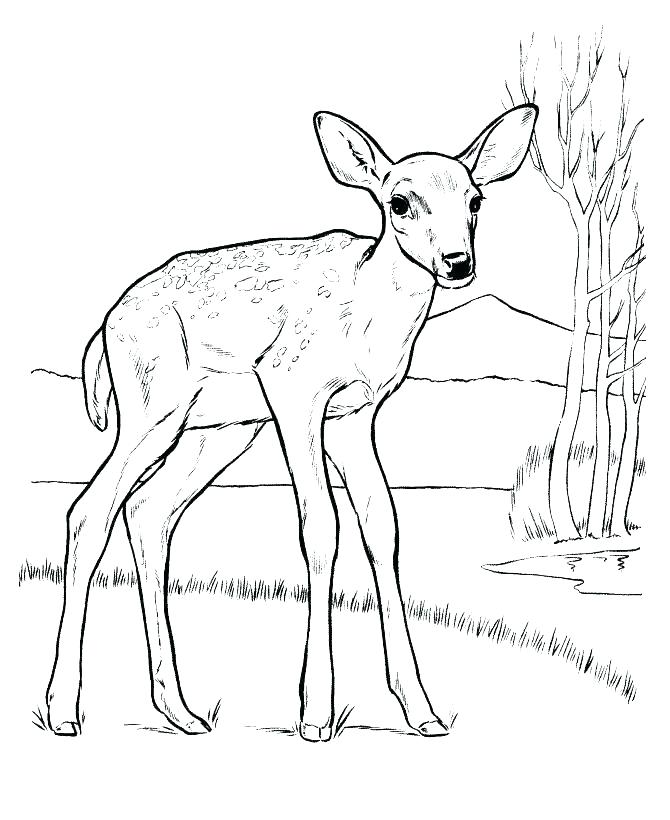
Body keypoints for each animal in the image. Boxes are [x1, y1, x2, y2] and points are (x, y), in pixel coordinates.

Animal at [46, 104, 538, 740]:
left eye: (476, 199)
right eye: (399, 201)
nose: (457, 263)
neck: (367, 315)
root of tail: (107, 324)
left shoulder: (354, 416)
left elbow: (382, 526)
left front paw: (423, 712)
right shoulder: (294, 392)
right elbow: (321, 526)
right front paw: (316, 714)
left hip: (217, 430)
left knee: (147, 511)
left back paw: (182, 711)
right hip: (152, 411)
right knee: (89, 511)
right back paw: (63, 711)